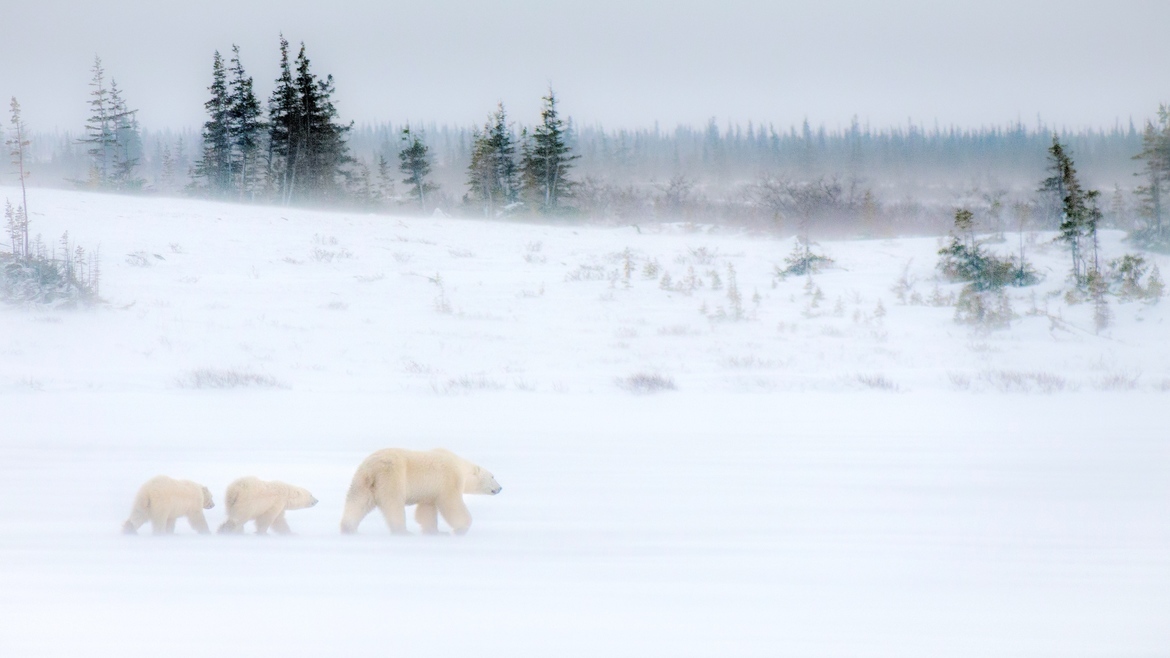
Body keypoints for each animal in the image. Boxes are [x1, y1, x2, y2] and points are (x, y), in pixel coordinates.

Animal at [340, 448, 501, 535]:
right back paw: (403, 532)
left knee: (357, 502)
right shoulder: (449, 479)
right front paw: (459, 530)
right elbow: (452, 504)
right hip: (392, 477)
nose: (500, 488)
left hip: (362, 482)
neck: (459, 465)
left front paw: (436, 532)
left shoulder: (431, 491)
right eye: (493, 476)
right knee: (393, 505)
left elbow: (426, 510)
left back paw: (349, 529)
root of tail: (372, 469)